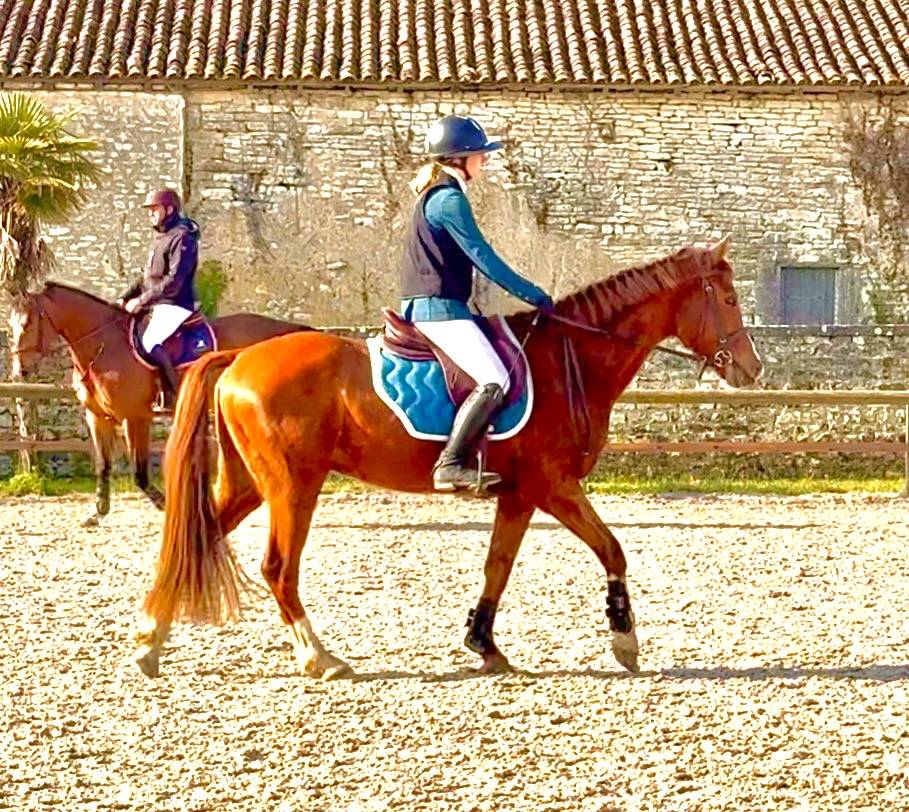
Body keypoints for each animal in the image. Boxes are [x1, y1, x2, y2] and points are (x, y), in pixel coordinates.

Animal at [9, 282, 311, 525]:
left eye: (26, 324)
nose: (19, 370)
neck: (104, 345)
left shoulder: (135, 417)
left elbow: (140, 472)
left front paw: (166, 506)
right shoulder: (97, 418)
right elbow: (103, 466)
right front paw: (97, 512)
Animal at [136, 239, 763, 679]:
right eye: (729, 299)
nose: (751, 369)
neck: (571, 357)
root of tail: (240, 357)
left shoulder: (519, 494)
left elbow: (497, 566)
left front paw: (483, 644)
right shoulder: (553, 485)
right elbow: (612, 548)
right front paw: (623, 639)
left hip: (249, 485)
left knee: (196, 540)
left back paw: (150, 640)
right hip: (294, 487)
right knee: (276, 568)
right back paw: (319, 658)